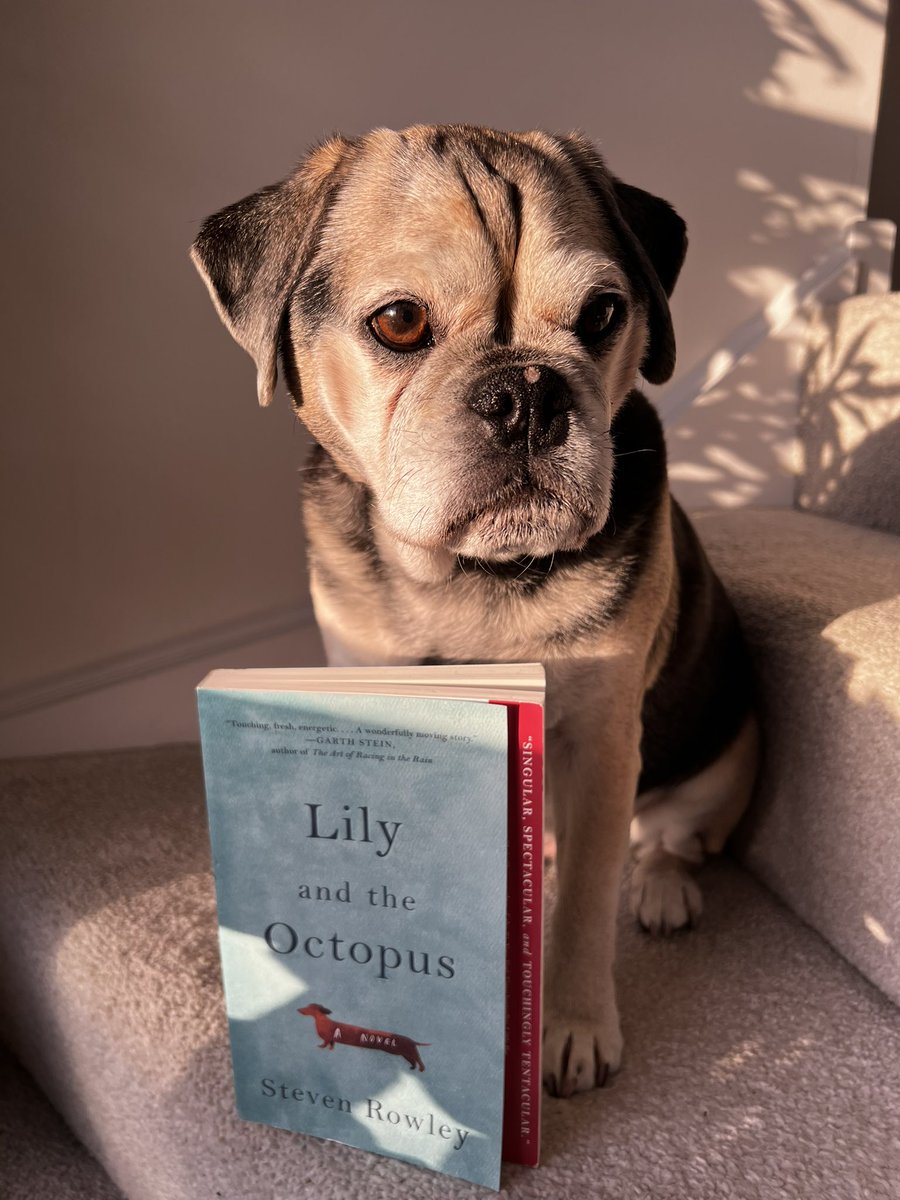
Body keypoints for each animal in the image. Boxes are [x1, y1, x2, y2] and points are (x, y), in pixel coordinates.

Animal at [297, 1003, 432, 1070]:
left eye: (309, 1007)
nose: (298, 1010)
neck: (322, 1021)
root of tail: (413, 1041)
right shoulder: (331, 1039)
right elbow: (331, 1044)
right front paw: (329, 1050)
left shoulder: (327, 1038)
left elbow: (325, 1043)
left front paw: (320, 1047)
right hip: (405, 1054)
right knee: (413, 1061)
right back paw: (412, 1068)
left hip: (409, 1052)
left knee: (419, 1060)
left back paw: (421, 1069)